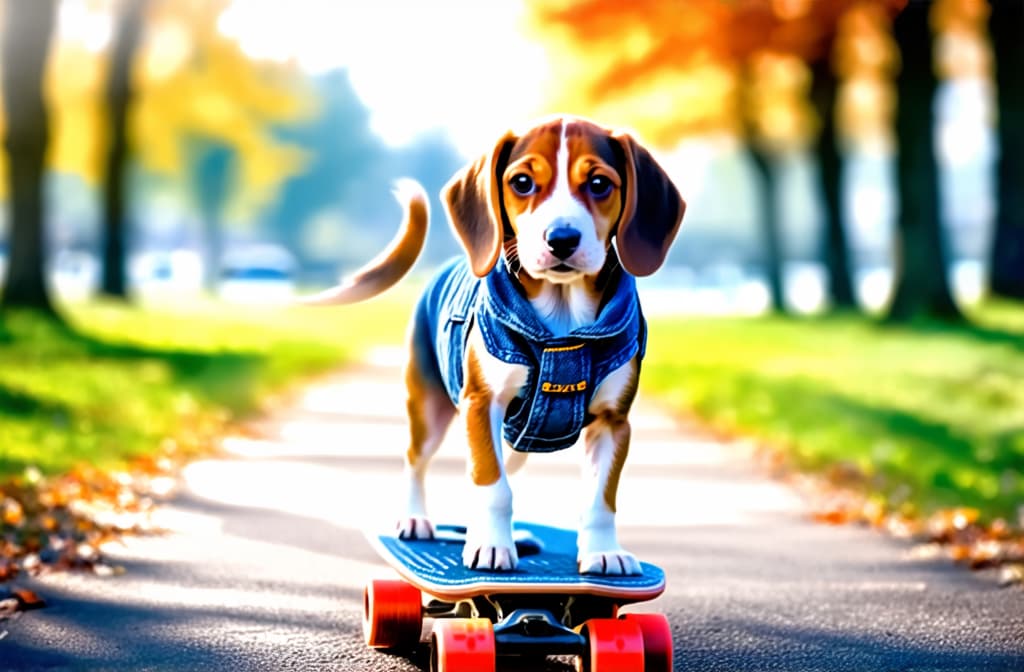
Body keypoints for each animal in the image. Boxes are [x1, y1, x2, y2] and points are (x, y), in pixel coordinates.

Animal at [303, 116, 688, 577]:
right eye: (522, 182)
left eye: (599, 184)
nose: (562, 238)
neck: (562, 322)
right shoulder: (481, 403)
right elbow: (492, 485)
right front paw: (490, 547)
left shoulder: (614, 422)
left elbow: (600, 499)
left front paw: (603, 552)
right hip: (429, 407)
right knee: (416, 458)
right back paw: (415, 519)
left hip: (514, 438)